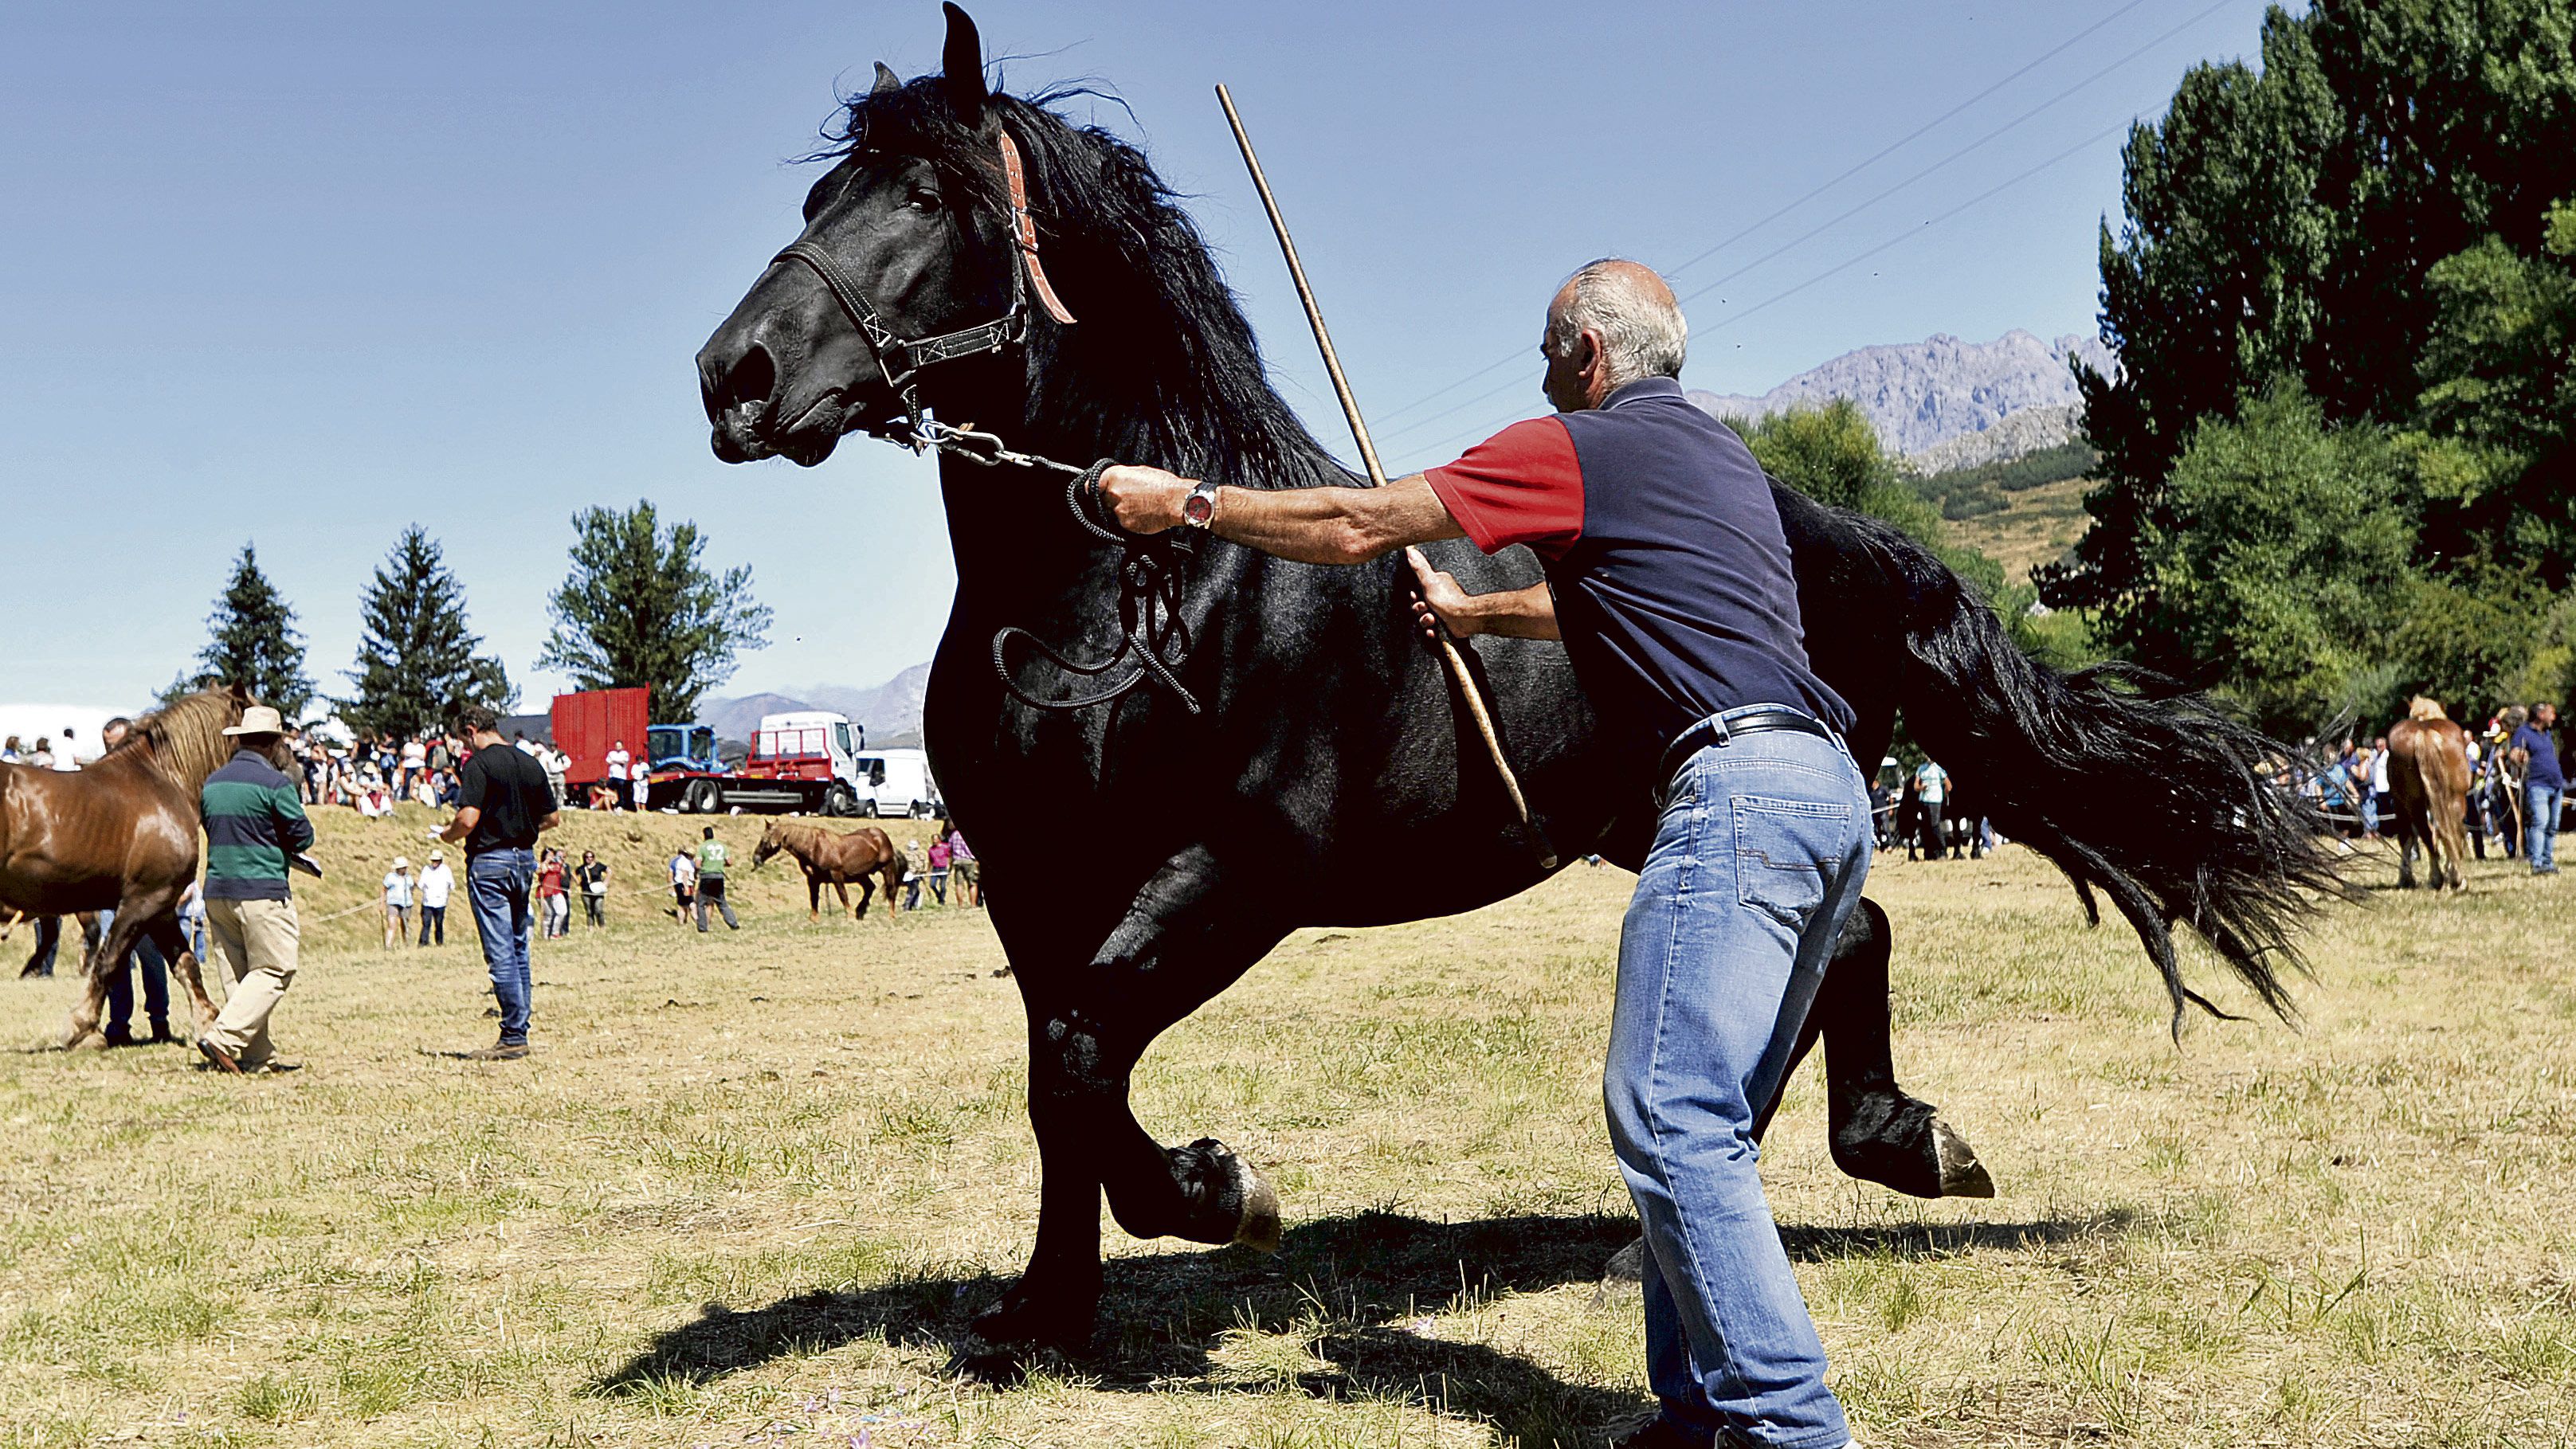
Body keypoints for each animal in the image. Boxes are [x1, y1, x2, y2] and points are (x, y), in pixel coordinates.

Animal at [0, 684, 284, 1050]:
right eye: (271, 734)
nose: (292, 767)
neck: (164, 782)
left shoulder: (160, 907)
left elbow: (185, 964)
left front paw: (208, 1022)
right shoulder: (142, 901)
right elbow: (109, 961)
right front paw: (83, 1028)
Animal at [747, 823, 907, 926]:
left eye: (764, 840)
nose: (756, 859)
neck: (815, 847)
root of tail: (881, 836)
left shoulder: (836, 875)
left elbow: (843, 895)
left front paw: (849, 917)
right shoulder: (813, 879)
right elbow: (814, 898)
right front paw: (814, 919)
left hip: (887, 869)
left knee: (891, 891)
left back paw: (890, 915)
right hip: (861, 875)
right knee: (870, 888)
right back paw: (860, 911)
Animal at [2380, 695, 2462, 890]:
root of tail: (2424, 732)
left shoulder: (2400, 803)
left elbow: (2408, 837)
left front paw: (2406, 878)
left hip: (2413, 803)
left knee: (2428, 832)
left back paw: (2439, 877)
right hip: (2453, 798)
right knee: (2447, 830)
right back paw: (2452, 877)